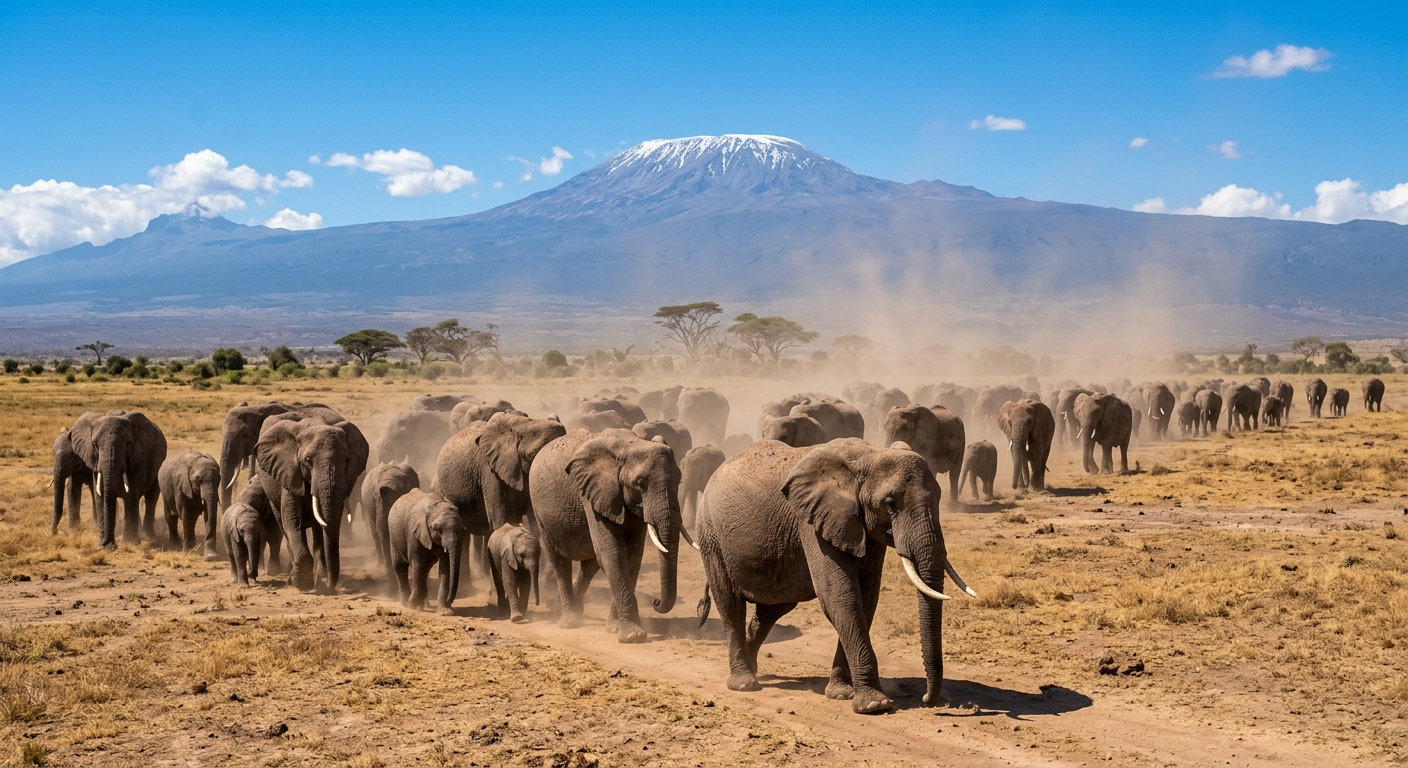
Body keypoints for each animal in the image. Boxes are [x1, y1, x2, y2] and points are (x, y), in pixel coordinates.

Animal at [69, 410, 168, 549]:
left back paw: (150, 536)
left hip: (158, 464)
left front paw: (130, 542)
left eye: (128, 443)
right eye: (95, 445)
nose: (109, 545)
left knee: (151, 498)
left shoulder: (138, 458)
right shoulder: (95, 462)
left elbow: (131, 495)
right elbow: (100, 496)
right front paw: (105, 546)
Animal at [255, 409, 369, 591]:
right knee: (283, 524)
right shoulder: (289, 472)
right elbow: (293, 520)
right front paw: (302, 583)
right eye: (307, 460)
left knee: (317, 530)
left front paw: (318, 581)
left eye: (347, 460)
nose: (330, 587)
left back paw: (320, 575)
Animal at [529, 429, 687, 642]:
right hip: (539, 510)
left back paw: (578, 609)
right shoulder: (592, 495)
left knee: (590, 565)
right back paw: (570, 622)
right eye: (640, 483)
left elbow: (632, 558)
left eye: (679, 480)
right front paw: (633, 636)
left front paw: (614, 628)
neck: (631, 445)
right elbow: (613, 554)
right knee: (560, 563)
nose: (655, 601)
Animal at [696, 438, 975, 713]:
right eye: (890, 504)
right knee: (731, 604)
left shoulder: (864, 530)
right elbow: (841, 598)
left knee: (772, 609)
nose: (928, 700)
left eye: (939, 497)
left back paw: (753, 669)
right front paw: (875, 704)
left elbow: (866, 599)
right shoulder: (812, 524)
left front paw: (841, 693)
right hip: (711, 534)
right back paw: (744, 683)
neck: (869, 455)